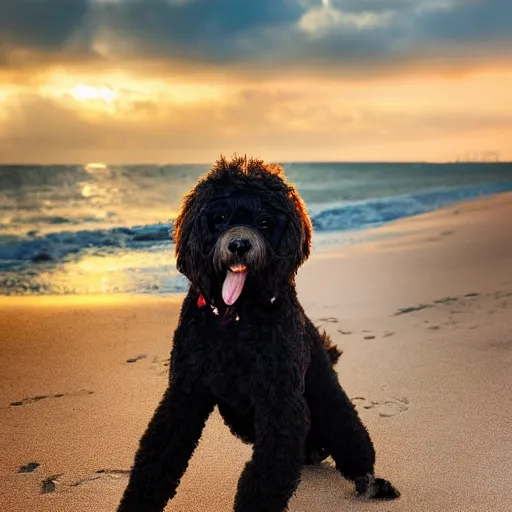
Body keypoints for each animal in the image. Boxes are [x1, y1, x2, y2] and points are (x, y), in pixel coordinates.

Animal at [117, 157, 400, 512]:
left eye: (265, 222)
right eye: (219, 219)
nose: (239, 245)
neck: (235, 317)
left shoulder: (280, 402)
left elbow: (265, 477)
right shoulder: (184, 393)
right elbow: (155, 461)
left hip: (328, 399)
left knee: (350, 439)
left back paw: (370, 482)